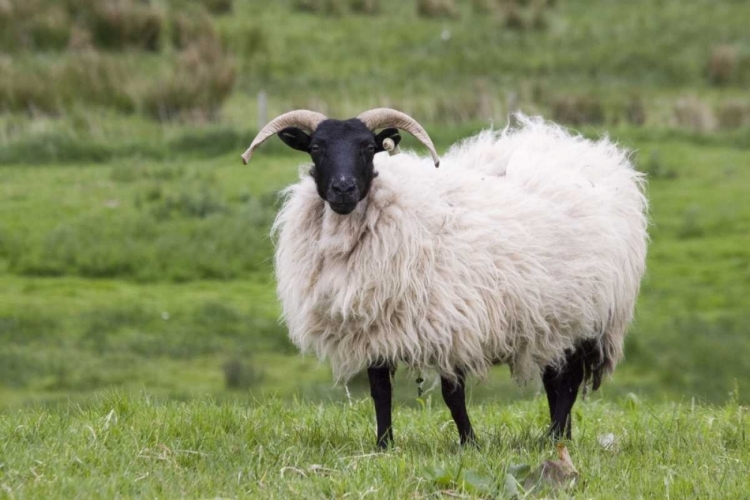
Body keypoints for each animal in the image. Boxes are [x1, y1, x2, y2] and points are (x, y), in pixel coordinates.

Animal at [239, 107, 648, 448]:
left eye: (368, 148)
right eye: (316, 148)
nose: (343, 189)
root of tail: (580, 148)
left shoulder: (451, 322)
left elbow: (453, 396)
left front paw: (469, 443)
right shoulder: (377, 326)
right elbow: (380, 392)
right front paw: (384, 445)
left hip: (587, 315)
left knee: (569, 382)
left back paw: (554, 438)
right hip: (551, 318)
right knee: (555, 380)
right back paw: (559, 436)